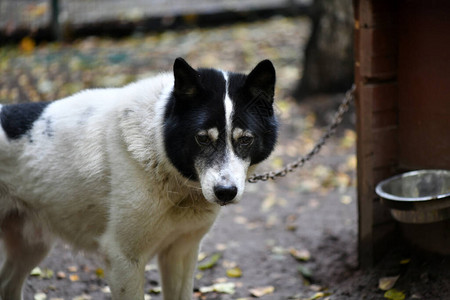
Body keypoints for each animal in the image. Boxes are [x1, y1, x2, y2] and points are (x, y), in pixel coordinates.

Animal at [0, 57, 278, 298]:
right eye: (202, 138)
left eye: (245, 139)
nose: (226, 192)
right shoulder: (124, 259)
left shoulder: (181, 252)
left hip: (32, 246)